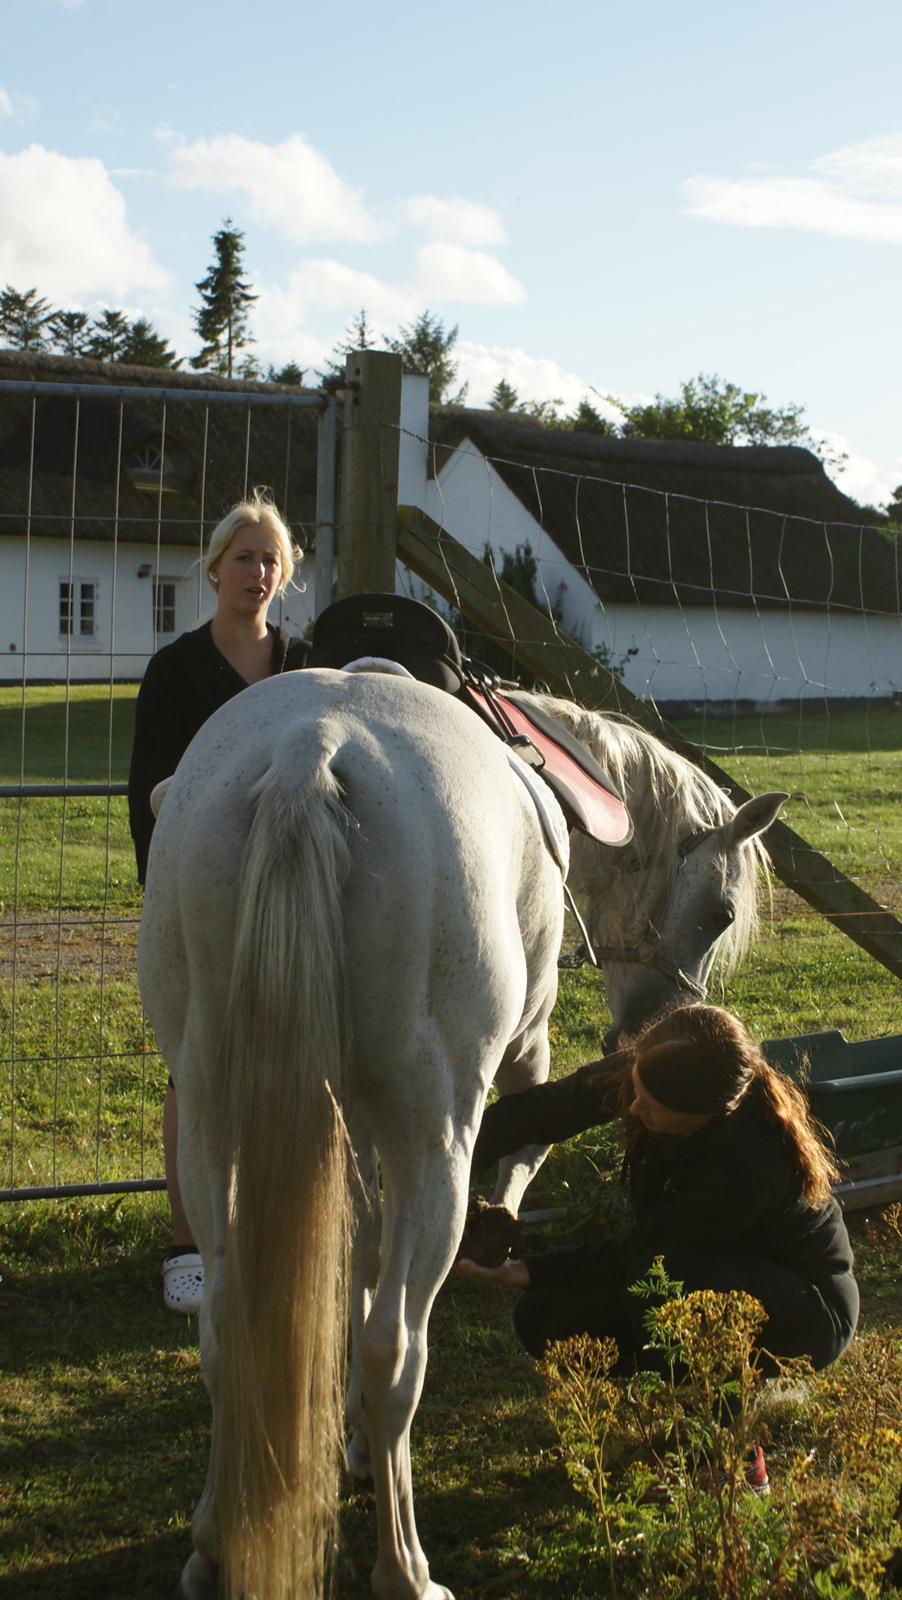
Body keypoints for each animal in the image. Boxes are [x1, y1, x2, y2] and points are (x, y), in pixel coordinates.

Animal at [139, 668, 783, 1600]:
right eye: (720, 911)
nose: (653, 1031)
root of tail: (307, 754)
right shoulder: (521, 1063)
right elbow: (507, 1170)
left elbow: (361, 1251)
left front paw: (347, 1440)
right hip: (435, 1135)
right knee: (394, 1349)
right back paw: (406, 1566)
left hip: (213, 1119)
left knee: (228, 1334)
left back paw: (214, 1544)